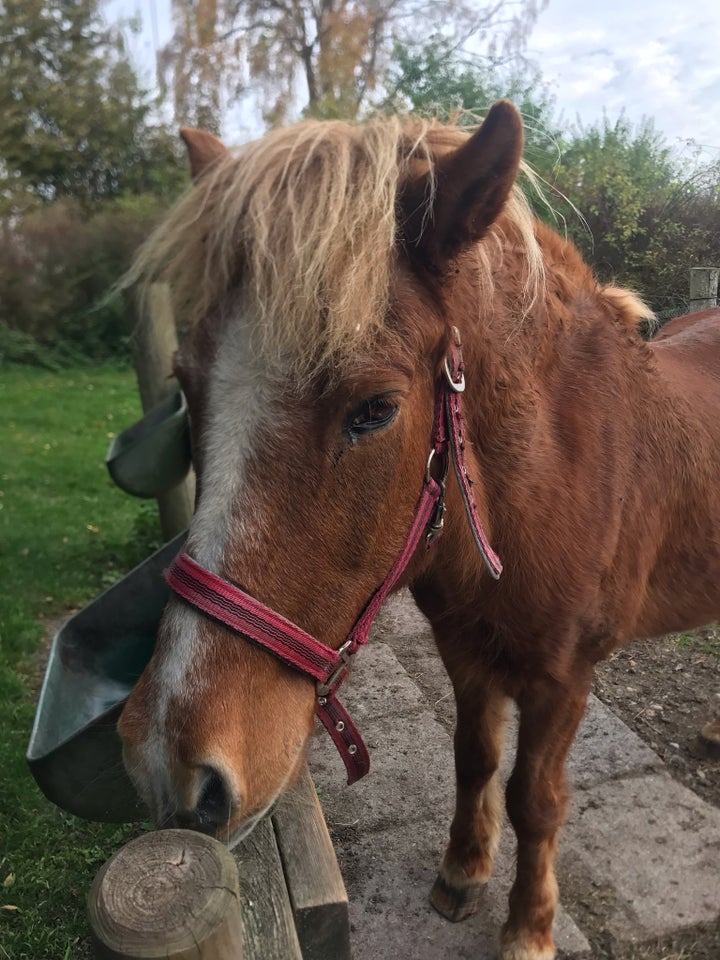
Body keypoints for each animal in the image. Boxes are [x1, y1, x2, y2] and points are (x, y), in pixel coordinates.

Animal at [119, 101, 720, 956]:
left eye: (375, 409)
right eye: (186, 382)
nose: (171, 766)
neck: (548, 477)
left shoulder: (563, 679)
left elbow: (536, 799)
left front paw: (529, 927)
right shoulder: (464, 651)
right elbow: (475, 759)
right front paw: (463, 872)